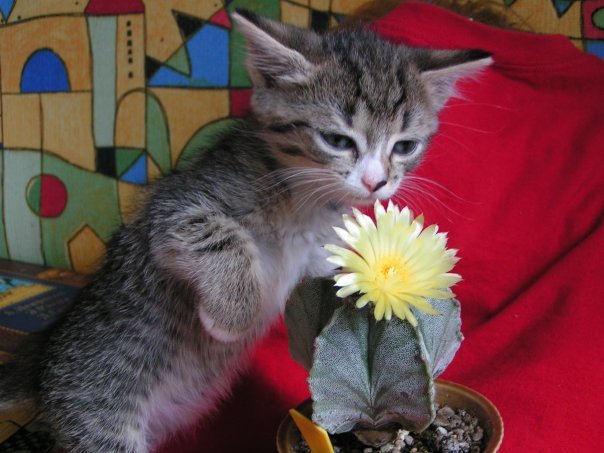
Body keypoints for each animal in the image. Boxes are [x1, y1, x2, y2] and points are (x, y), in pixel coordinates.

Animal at [0, 8, 490, 450]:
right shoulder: (174, 205)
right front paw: (231, 317)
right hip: (102, 413)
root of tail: (41, 361)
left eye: (404, 146)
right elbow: (218, 235)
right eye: (337, 140)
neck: (306, 201)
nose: (376, 182)